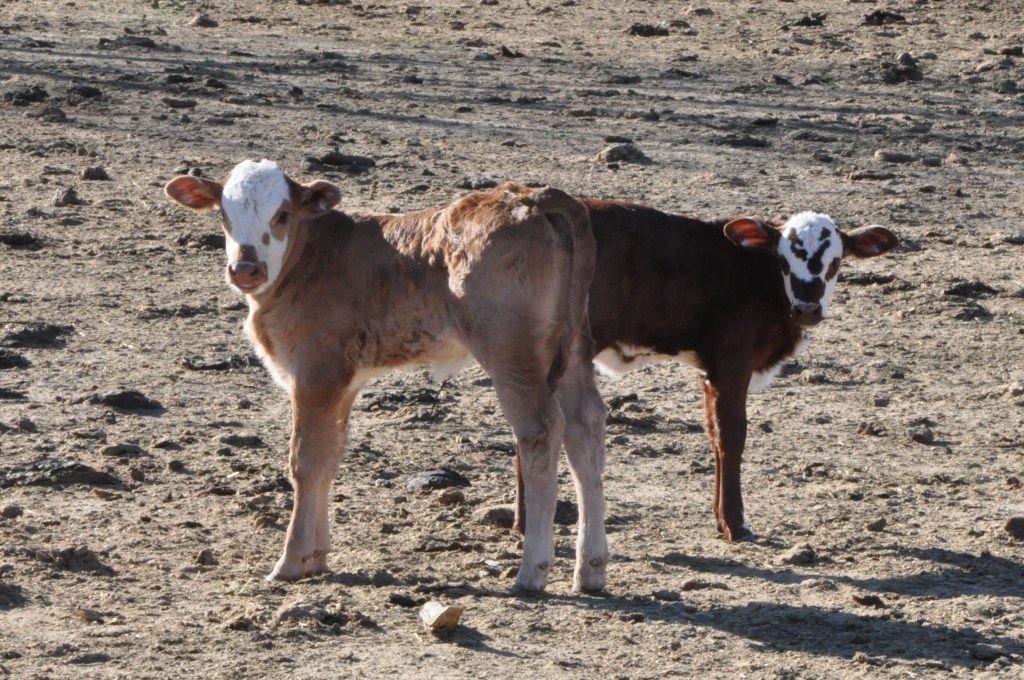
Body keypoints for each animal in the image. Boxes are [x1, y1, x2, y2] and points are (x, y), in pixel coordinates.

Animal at [164, 160, 609, 594]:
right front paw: (316, 558)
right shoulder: (344, 381)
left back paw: (532, 570)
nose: (246, 269)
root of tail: (535, 196)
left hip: (512, 349)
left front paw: (289, 562)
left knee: (541, 431)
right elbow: (329, 457)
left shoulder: (315, 371)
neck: (308, 258)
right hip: (571, 347)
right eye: (224, 214)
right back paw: (591, 568)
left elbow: (304, 461)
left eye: (283, 215)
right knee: (585, 426)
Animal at [514, 200, 898, 547]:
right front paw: (735, 523)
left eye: (835, 262)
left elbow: (714, 434)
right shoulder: (732, 363)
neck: (756, 278)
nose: (806, 309)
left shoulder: (710, 370)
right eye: (784, 260)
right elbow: (732, 435)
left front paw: (719, 518)